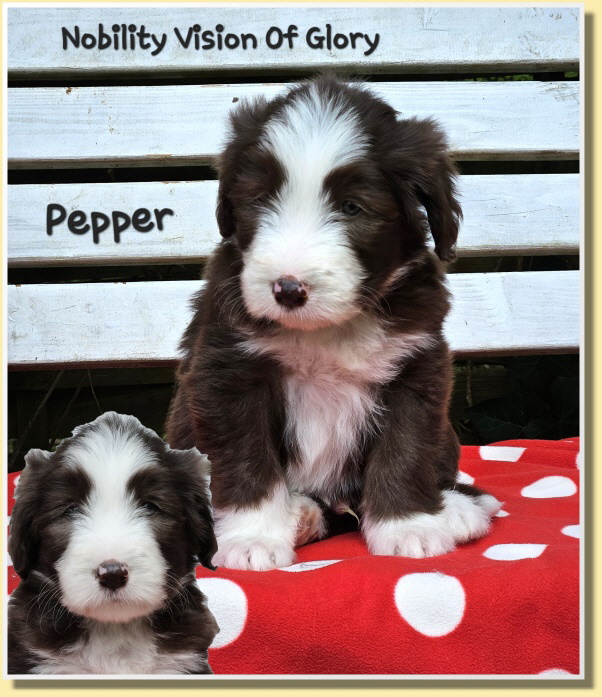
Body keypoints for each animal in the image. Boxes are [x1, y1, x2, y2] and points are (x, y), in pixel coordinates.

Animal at [166, 74, 501, 571]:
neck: (327, 330)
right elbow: (246, 460)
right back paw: (301, 516)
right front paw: (252, 538)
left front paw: (409, 528)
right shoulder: (228, 374)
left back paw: (458, 507)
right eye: (259, 199)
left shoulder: (416, 366)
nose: (288, 289)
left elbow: (405, 450)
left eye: (352, 208)